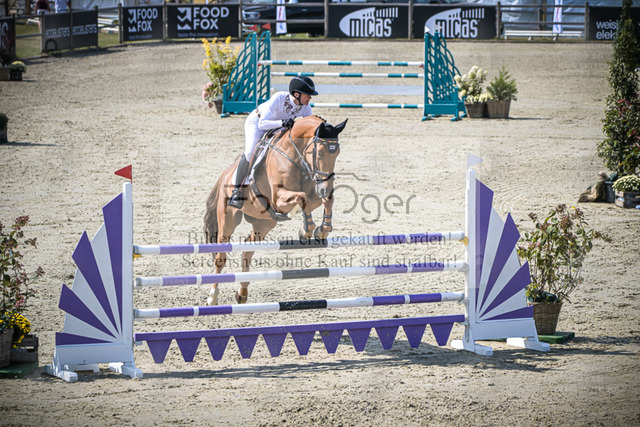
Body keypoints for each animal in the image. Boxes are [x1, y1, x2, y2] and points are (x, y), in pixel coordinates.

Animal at [204, 115, 348, 305]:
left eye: (337, 152)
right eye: (321, 153)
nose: (325, 187)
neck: (295, 155)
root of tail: (226, 174)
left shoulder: (314, 192)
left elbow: (324, 200)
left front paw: (322, 230)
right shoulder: (278, 197)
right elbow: (302, 198)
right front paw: (306, 230)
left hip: (263, 223)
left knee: (248, 248)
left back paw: (242, 292)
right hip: (228, 221)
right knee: (221, 256)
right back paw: (212, 297)